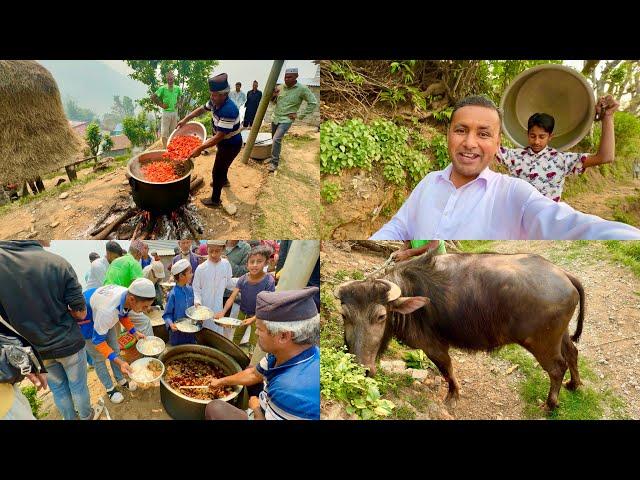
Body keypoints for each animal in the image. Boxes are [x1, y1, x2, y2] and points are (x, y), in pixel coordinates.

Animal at [336, 249, 584, 410]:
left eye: (380, 316)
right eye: (344, 315)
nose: (362, 370)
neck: (410, 295)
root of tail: (563, 274)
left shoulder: (433, 346)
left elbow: (447, 370)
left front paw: (452, 396)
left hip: (542, 344)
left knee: (557, 368)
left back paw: (550, 405)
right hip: (559, 335)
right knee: (572, 353)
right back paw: (574, 384)